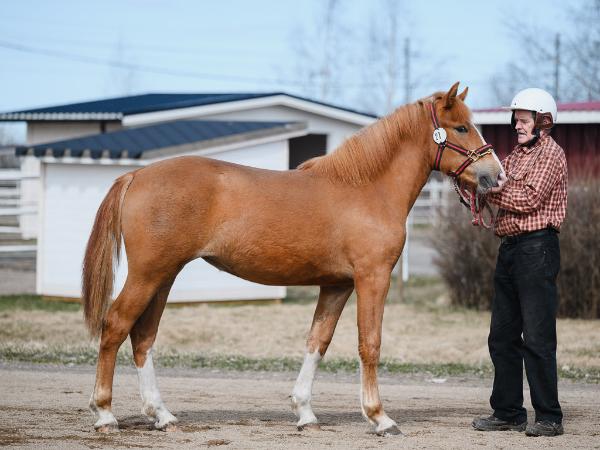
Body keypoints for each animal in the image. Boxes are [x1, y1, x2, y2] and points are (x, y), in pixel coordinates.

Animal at [83, 82, 503, 436]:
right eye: (461, 128)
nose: (496, 176)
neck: (366, 188)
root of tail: (136, 175)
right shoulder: (372, 278)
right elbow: (370, 343)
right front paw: (379, 417)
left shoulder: (337, 284)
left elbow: (318, 341)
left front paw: (304, 412)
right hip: (149, 273)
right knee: (116, 325)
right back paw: (105, 414)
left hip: (164, 275)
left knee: (143, 336)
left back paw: (162, 415)